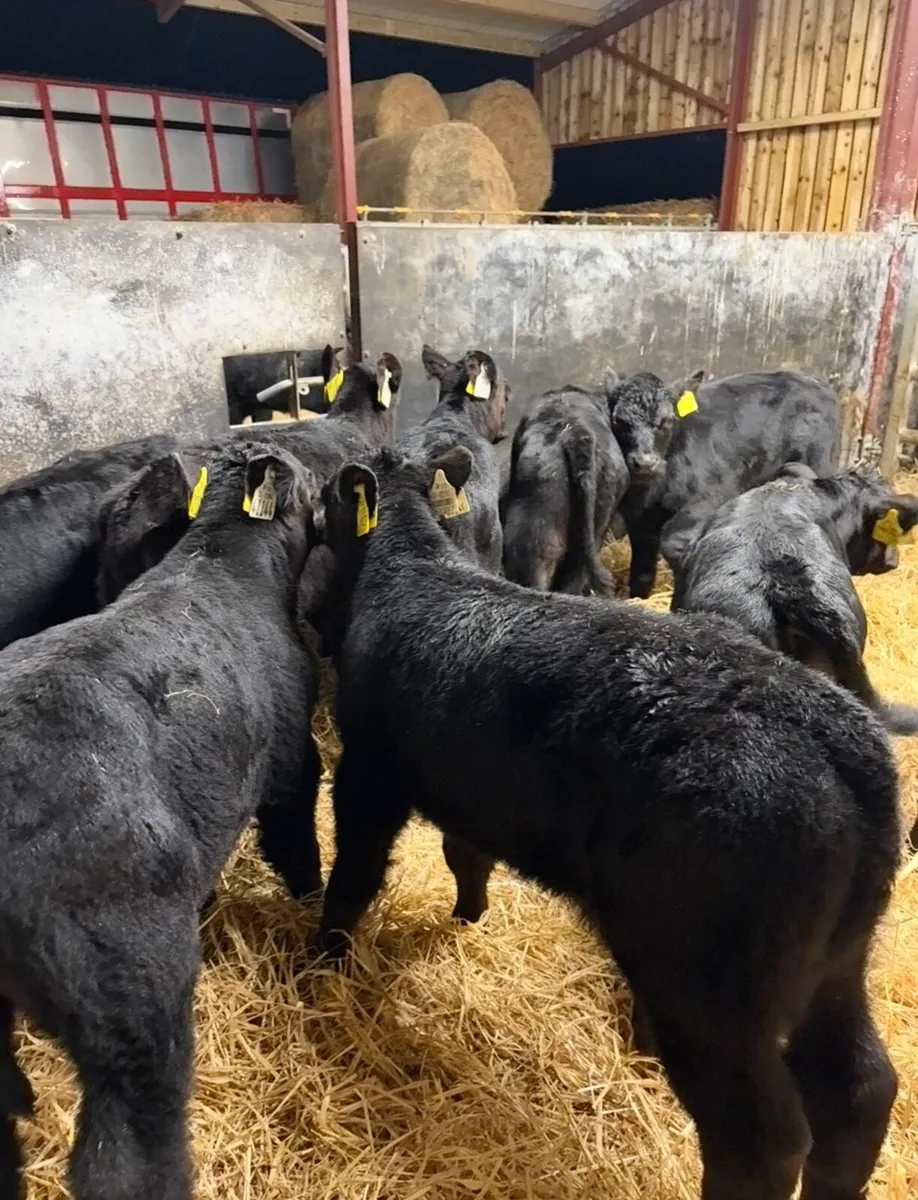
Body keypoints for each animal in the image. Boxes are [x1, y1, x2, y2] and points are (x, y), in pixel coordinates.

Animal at [0, 439, 324, 1200]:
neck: (224, 561)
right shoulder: (292, 763)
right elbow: (297, 838)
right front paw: (312, 899)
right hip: (127, 979)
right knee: (125, 1149)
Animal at [612, 370, 839, 598]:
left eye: (666, 420)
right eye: (619, 421)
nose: (645, 462)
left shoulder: (708, 500)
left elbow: (676, 542)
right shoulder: (638, 519)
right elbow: (642, 570)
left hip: (818, 464)